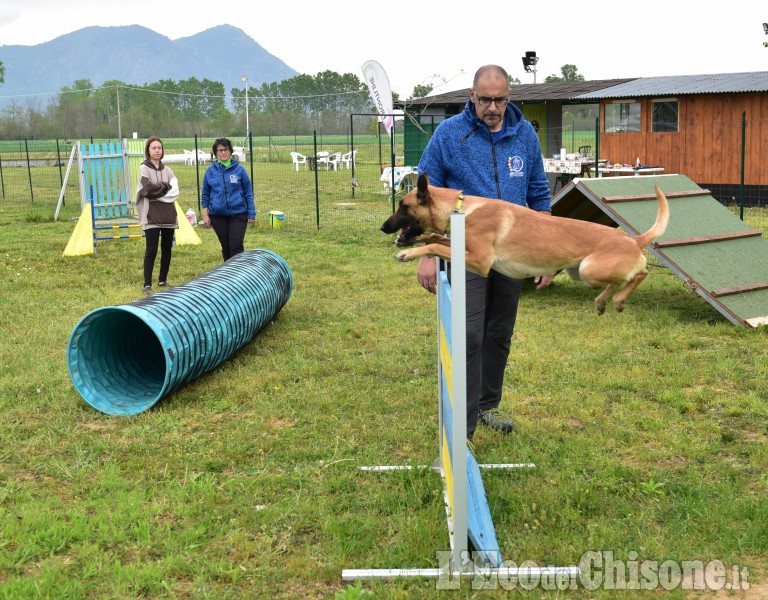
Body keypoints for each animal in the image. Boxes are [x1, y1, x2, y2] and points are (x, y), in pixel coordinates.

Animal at [380, 172, 668, 316]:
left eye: (403, 206)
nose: (383, 227)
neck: (460, 207)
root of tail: (634, 239)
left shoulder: (480, 261)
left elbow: (438, 246)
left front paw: (410, 252)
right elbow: (439, 239)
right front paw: (421, 239)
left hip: (590, 270)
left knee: (639, 273)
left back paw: (616, 299)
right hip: (580, 272)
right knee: (629, 277)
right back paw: (606, 302)